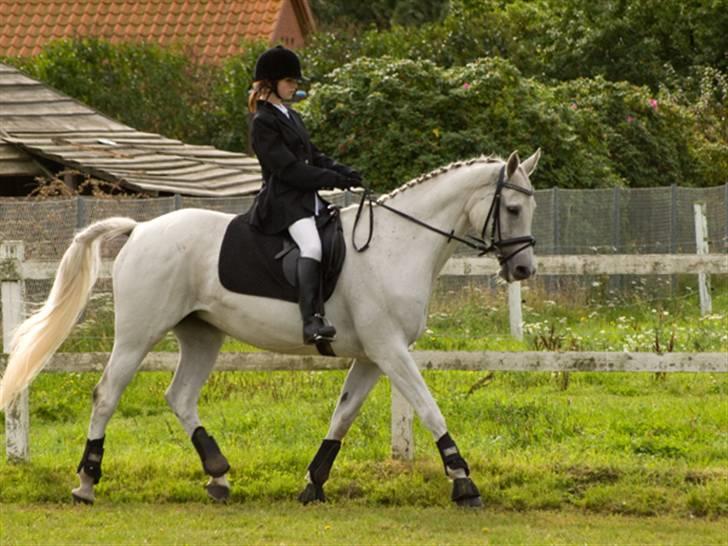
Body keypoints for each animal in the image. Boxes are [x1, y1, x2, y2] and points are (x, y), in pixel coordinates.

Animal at [0, 150, 536, 506]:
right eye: (512, 209)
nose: (524, 269)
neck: (396, 244)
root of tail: (141, 229)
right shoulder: (389, 349)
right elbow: (428, 408)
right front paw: (463, 481)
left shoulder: (372, 354)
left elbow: (343, 415)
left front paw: (313, 483)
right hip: (138, 334)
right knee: (107, 394)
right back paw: (87, 482)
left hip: (202, 334)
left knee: (180, 396)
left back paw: (218, 476)